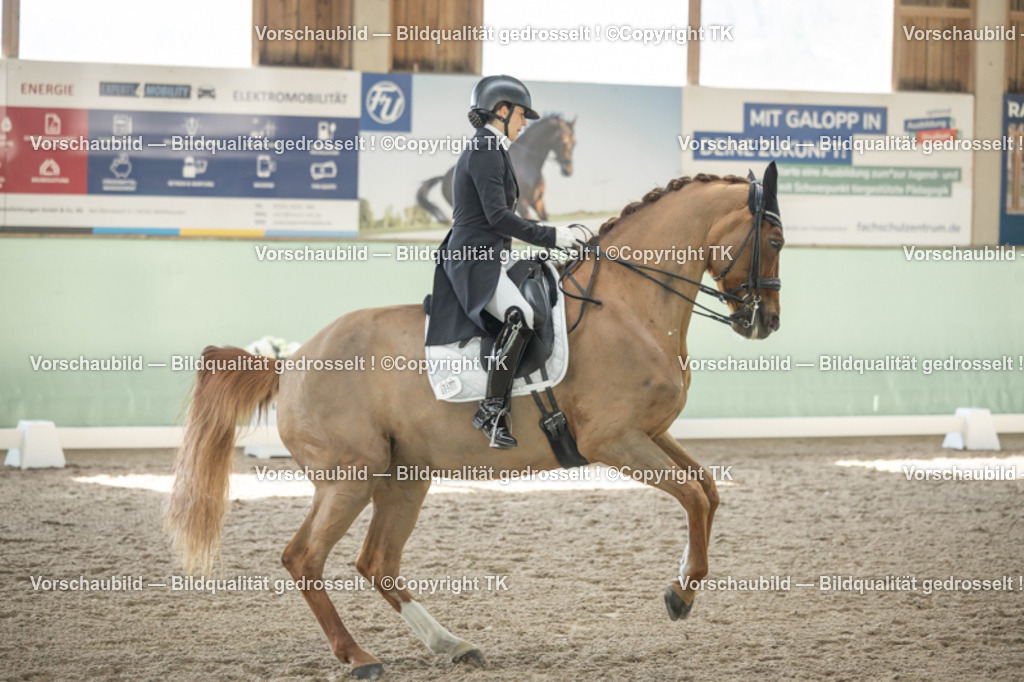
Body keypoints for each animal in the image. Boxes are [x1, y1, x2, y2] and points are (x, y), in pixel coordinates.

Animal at [166, 163, 784, 680]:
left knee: (377, 562)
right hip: (351, 478)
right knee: (305, 558)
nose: (766, 322)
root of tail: (290, 362)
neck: (630, 306)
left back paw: (452, 644)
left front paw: (682, 582)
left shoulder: (651, 433)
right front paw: (681, 596)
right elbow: (695, 497)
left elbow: (707, 489)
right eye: (775, 241)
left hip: (402, 477)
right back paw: (360, 657)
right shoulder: (616, 440)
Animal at [416, 114, 576, 223]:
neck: (528, 161)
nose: (568, 170)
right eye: (563, 141)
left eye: (575, 142)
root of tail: (444, 177)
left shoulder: (538, 202)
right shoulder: (523, 205)